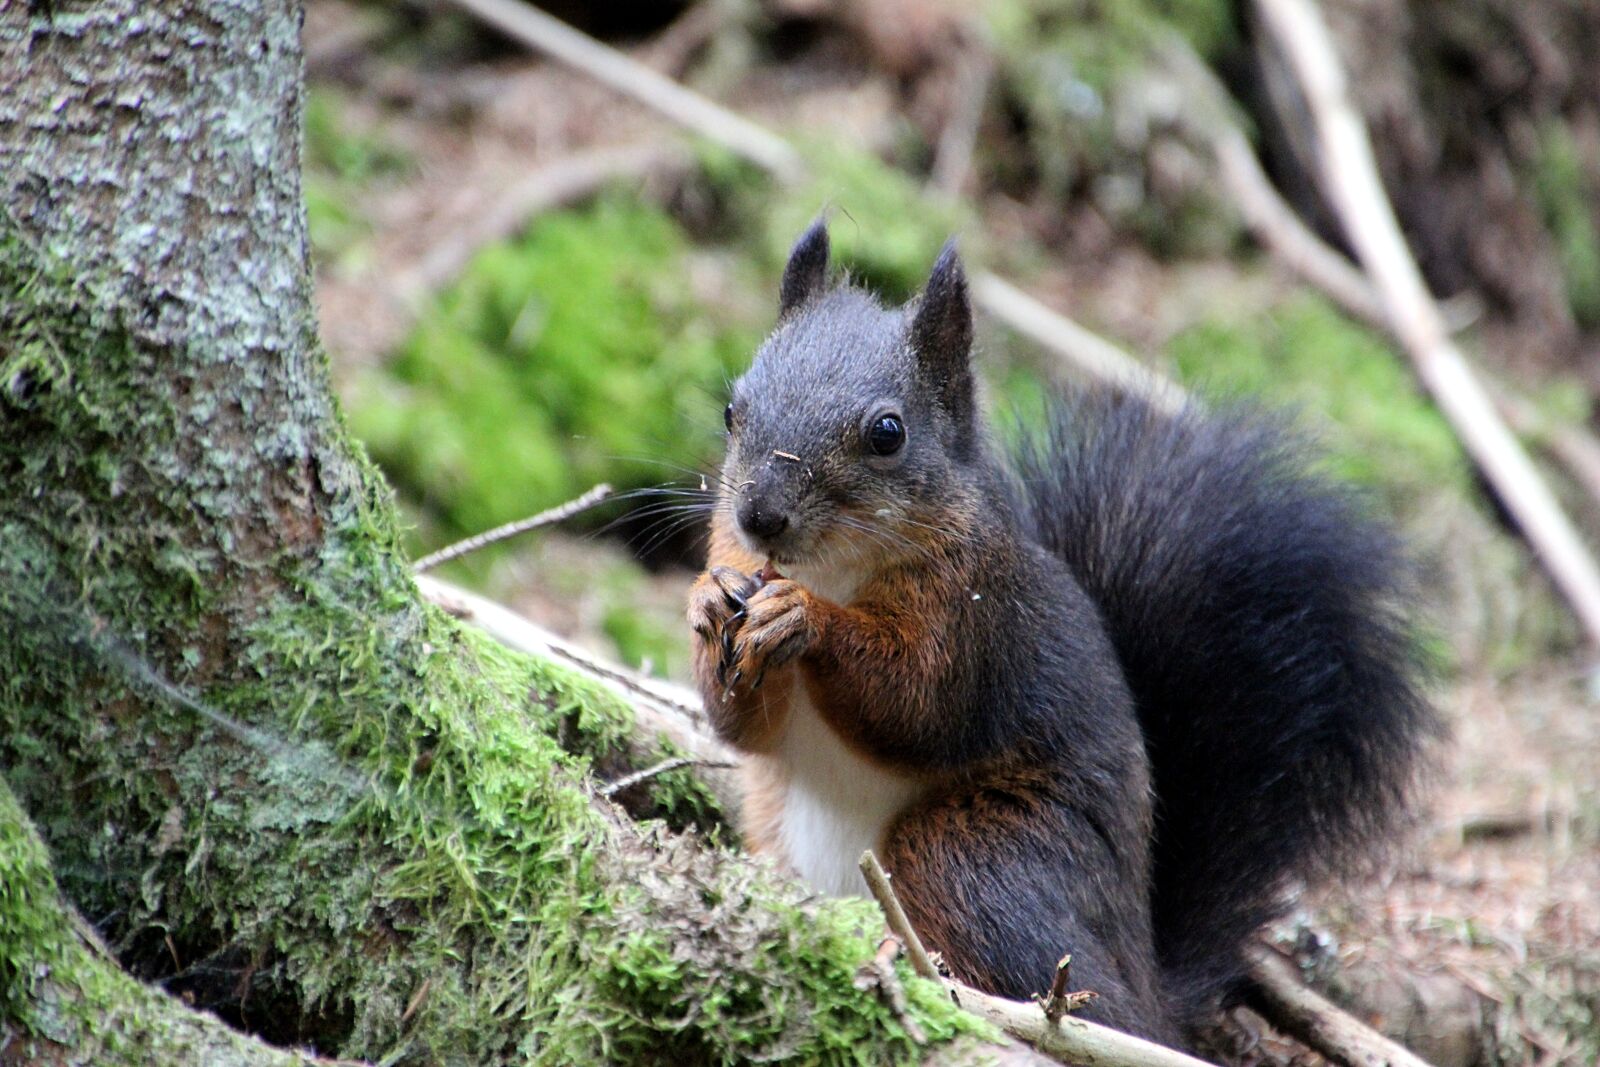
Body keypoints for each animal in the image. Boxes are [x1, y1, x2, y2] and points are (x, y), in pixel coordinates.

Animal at [686, 219, 1439, 1046]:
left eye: (888, 433)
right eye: (732, 409)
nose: (760, 516)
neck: (831, 568)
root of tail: (1149, 982)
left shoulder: (979, 619)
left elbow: (917, 706)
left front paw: (805, 619)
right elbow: (747, 731)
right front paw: (707, 603)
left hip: (982, 855)